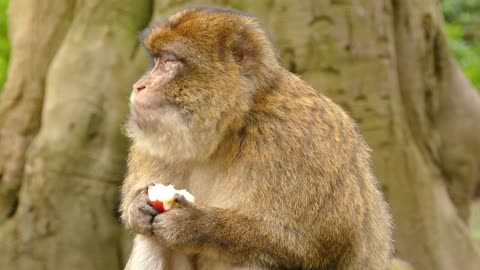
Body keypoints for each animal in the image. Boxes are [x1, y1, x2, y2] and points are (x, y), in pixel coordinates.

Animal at [120, 6, 394, 270]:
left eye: (169, 60)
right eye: (156, 60)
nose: (139, 85)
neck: (232, 127)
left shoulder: (297, 139)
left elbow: (318, 243)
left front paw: (194, 224)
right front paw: (138, 206)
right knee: (150, 239)